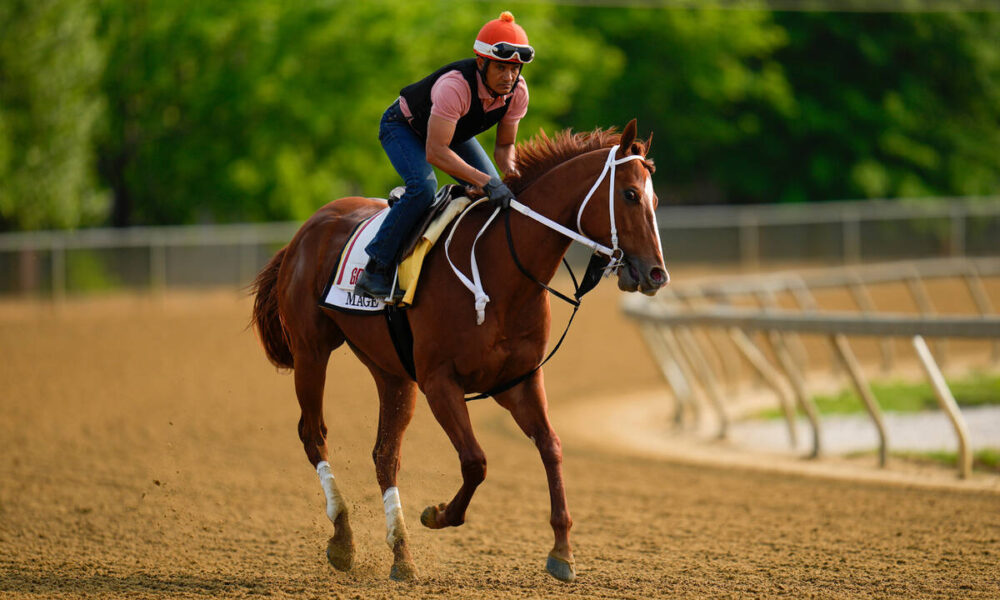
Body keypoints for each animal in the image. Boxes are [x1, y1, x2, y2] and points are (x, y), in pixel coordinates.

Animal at [254, 117, 668, 580]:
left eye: (654, 198)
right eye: (630, 194)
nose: (656, 273)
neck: (500, 268)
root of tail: (306, 230)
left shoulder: (519, 380)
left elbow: (551, 446)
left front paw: (562, 551)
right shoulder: (440, 382)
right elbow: (475, 460)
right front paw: (437, 514)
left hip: (391, 373)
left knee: (385, 456)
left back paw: (401, 553)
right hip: (311, 350)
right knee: (314, 435)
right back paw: (343, 538)